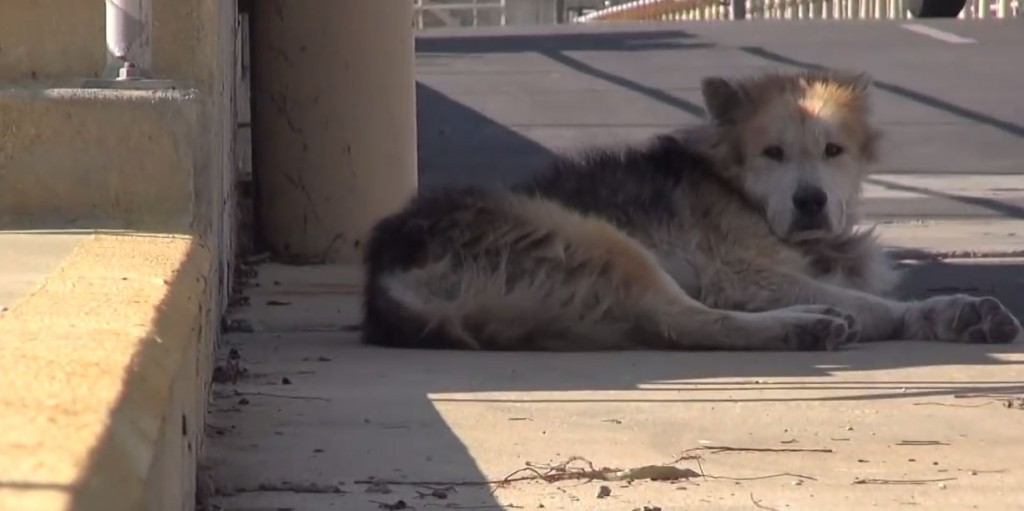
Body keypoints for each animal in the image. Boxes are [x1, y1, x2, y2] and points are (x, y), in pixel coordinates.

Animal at [358, 69, 1015, 352]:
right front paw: (937, 312)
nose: (811, 201)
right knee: (690, 321)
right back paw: (801, 326)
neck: (737, 189)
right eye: (772, 153)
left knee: (661, 325)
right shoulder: (743, 275)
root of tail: (385, 270)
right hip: (598, 238)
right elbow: (871, 305)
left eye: (834, 151)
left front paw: (948, 313)